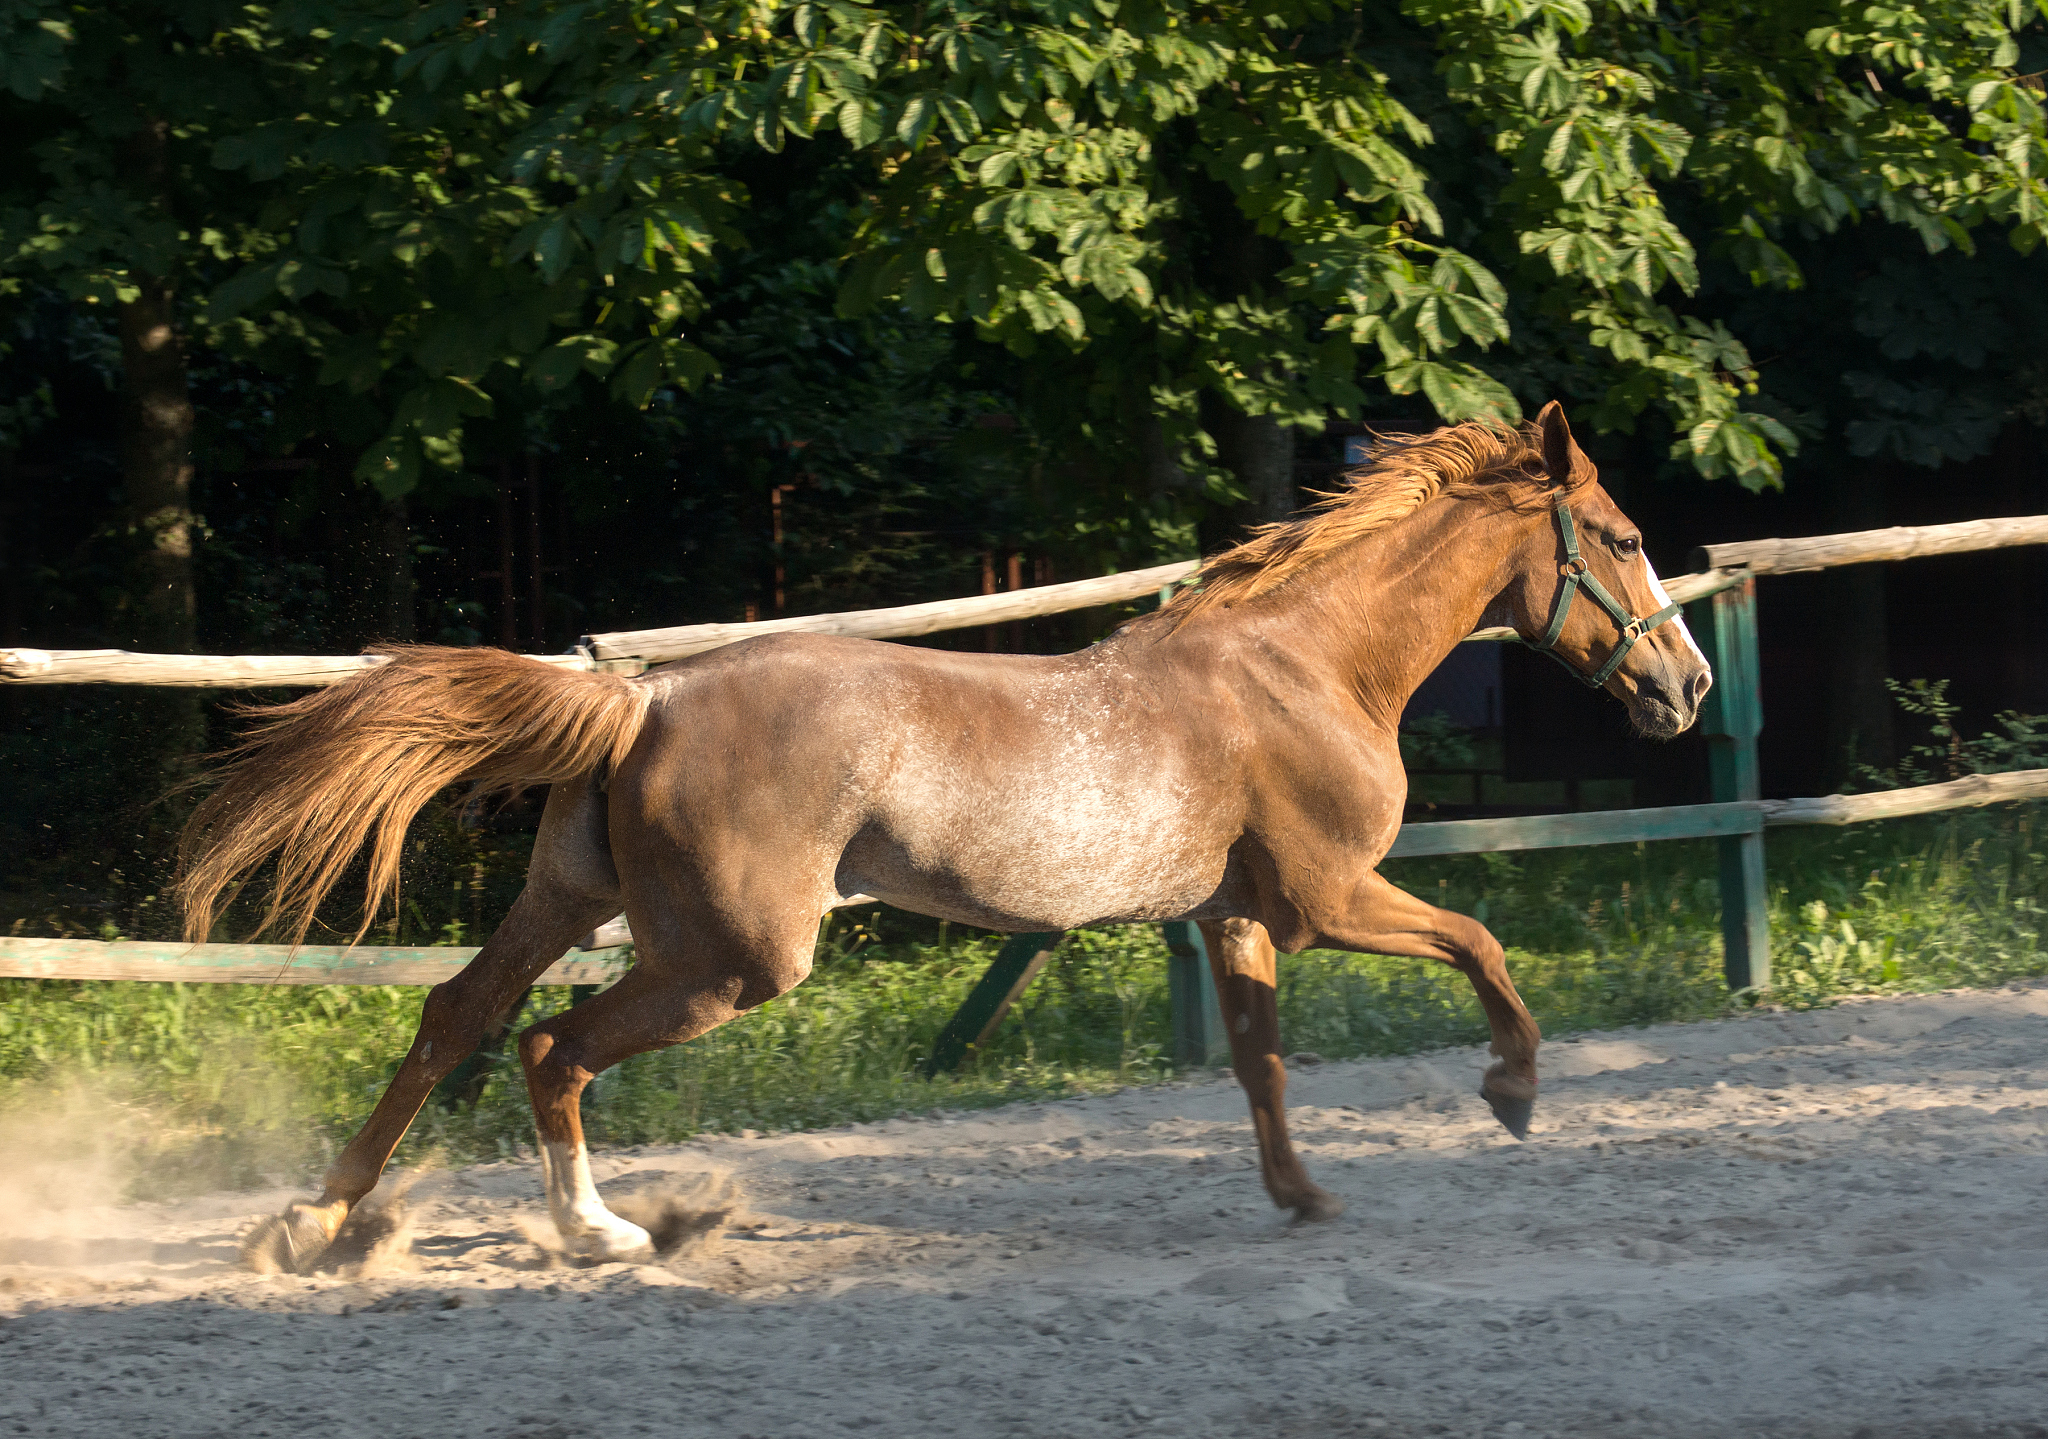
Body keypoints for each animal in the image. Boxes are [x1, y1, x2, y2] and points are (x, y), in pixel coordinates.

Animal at [178, 401, 1710, 1271]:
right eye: (1624, 537)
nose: (1685, 685)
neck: (1306, 666)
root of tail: (645, 696)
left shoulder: (1237, 915)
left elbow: (1263, 1063)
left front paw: (1303, 1196)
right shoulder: (1332, 893)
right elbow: (1483, 940)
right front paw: (1511, 1091)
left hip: (569, 898)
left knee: (451, 1016)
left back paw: (321, 1225)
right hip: (731, 958)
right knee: (551, 1047)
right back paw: (603, 1230)